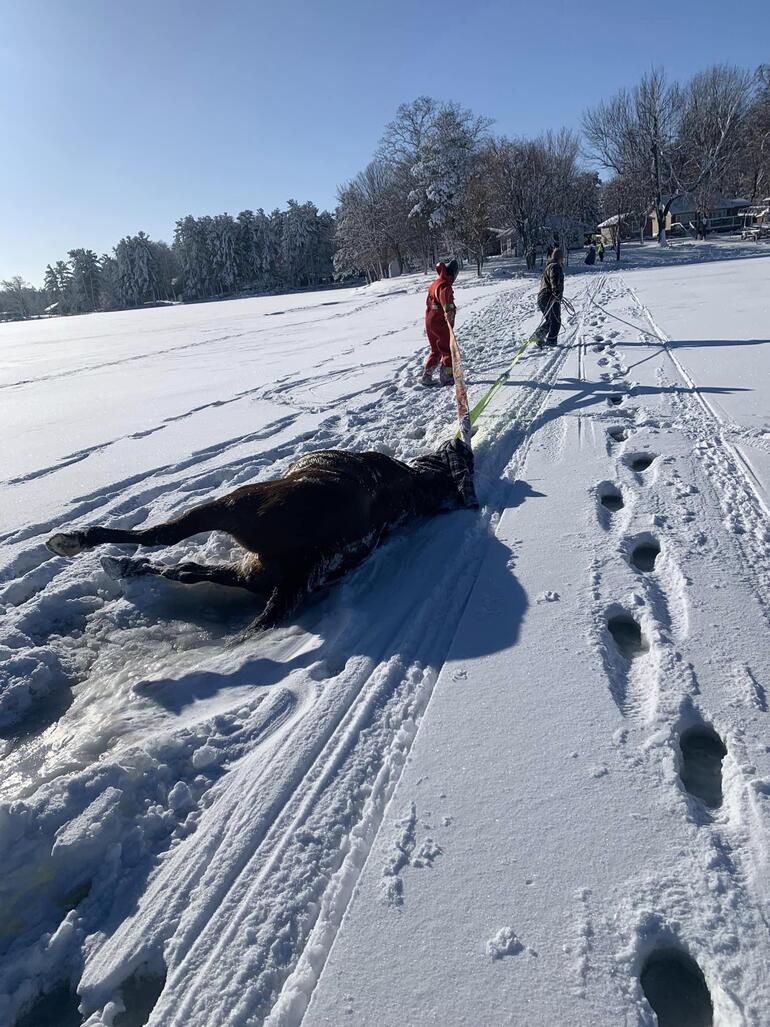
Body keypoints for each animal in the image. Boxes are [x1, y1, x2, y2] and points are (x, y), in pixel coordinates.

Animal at [46, 441, 476, 632]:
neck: (413, 485)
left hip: (234, 507)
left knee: (164, 536)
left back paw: (76, 542)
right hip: (255, 571)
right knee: (186, 569)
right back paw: (123, 565)